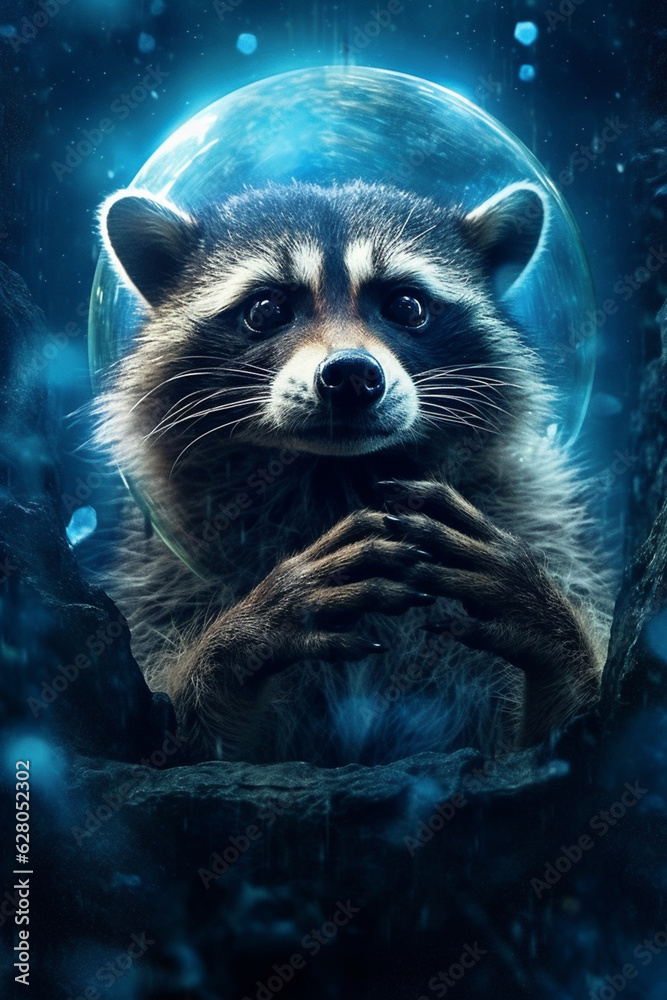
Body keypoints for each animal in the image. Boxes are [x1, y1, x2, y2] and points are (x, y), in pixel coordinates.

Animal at [94, 179, 612, 765]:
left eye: (406, 306)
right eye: (266, 310)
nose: (351, 375)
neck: (337, 474)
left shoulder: (536, 517)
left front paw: (548, 628)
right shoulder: (164, 574)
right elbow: (179, 745)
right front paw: (244, 638)